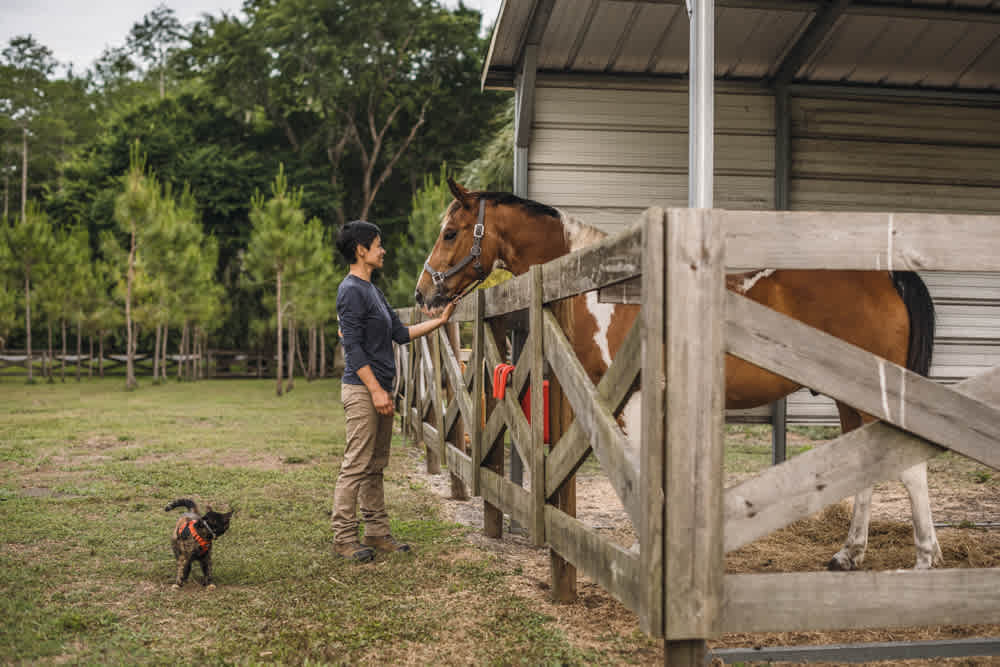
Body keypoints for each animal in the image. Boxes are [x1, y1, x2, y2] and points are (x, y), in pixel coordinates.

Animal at [412, 180, 936, 572]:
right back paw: (848, 554)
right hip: (851, 398)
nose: (422, 294)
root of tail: (887, 275)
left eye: (451, 232)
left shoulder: (633, 399)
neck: (604, 290)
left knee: (909, 467)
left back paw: (924, 561)